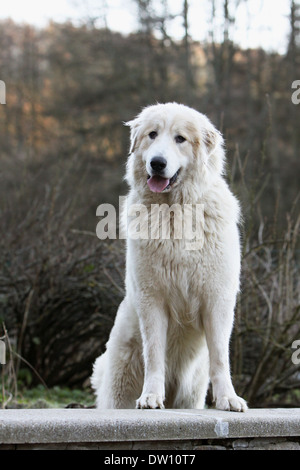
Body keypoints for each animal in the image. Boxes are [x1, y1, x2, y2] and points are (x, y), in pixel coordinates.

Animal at [90, 102, 247, 412]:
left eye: (180, 139)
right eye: (152, 134)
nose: (157, 163)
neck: (176, 211)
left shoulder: (217, 300)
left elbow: (220, 357)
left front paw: (228, 399)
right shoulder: (152, 300)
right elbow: (154, 354)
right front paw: (151, 397)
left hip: (191, 394)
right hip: (118, 388)